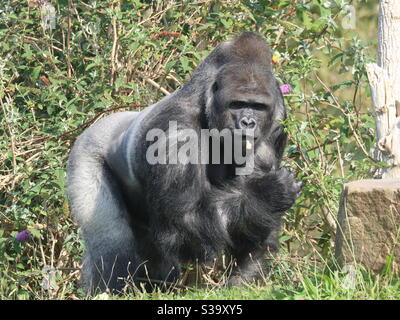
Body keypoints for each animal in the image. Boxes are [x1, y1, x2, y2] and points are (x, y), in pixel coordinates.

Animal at [67, 31, 302, 294]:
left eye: (258, 107)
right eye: (237, 104)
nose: (248, 123)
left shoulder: (277, 120)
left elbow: (259, 224)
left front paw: (245, 279)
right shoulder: (175, 130)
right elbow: (184, 223)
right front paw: (265, 193)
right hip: (85, 152)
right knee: (112, 243)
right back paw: (108, 289)